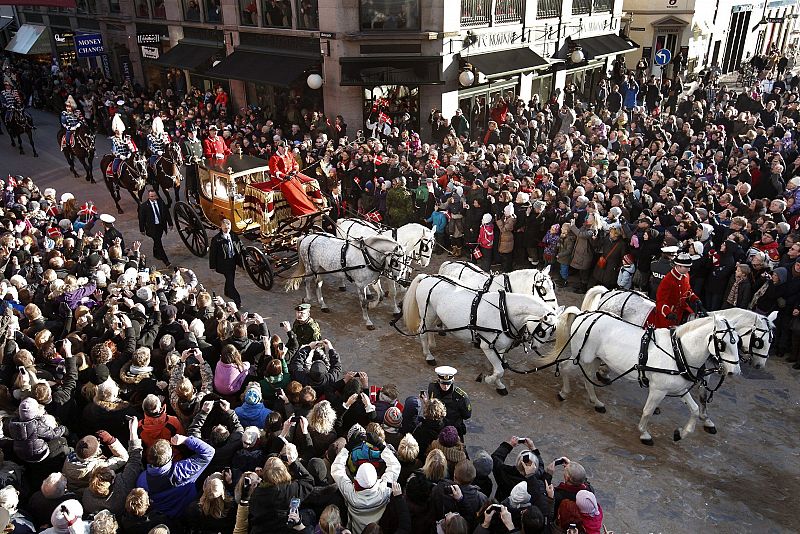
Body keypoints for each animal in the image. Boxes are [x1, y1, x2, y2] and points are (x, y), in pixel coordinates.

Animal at [404, 274, 560, 396]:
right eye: (542, 332)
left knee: (430, 329)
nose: (535, 347)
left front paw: (499, 385)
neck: (504, 312)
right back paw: (428, 355)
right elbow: (500, 370)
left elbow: (500, 369)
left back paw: (431, 344)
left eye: (552, 332)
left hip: (435, 314)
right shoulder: (488, 346)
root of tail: (427, 277)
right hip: (427, 313)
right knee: (423, 332)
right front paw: (489, 379)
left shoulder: (500, 347)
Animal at [536, 308, 744, 446]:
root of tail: (584, 315)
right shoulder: (658, 390)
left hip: (595, 358)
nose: (735, 372)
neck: (678, 352)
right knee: (564, 367)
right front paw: (644, 433)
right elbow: (648, 411)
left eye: (738, 342)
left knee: (588, 378)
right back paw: (564, 392)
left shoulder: (679, 389)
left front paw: (681, 433)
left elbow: (693, 410)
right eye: (722, 343)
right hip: (581, 356)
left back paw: (596, 402)